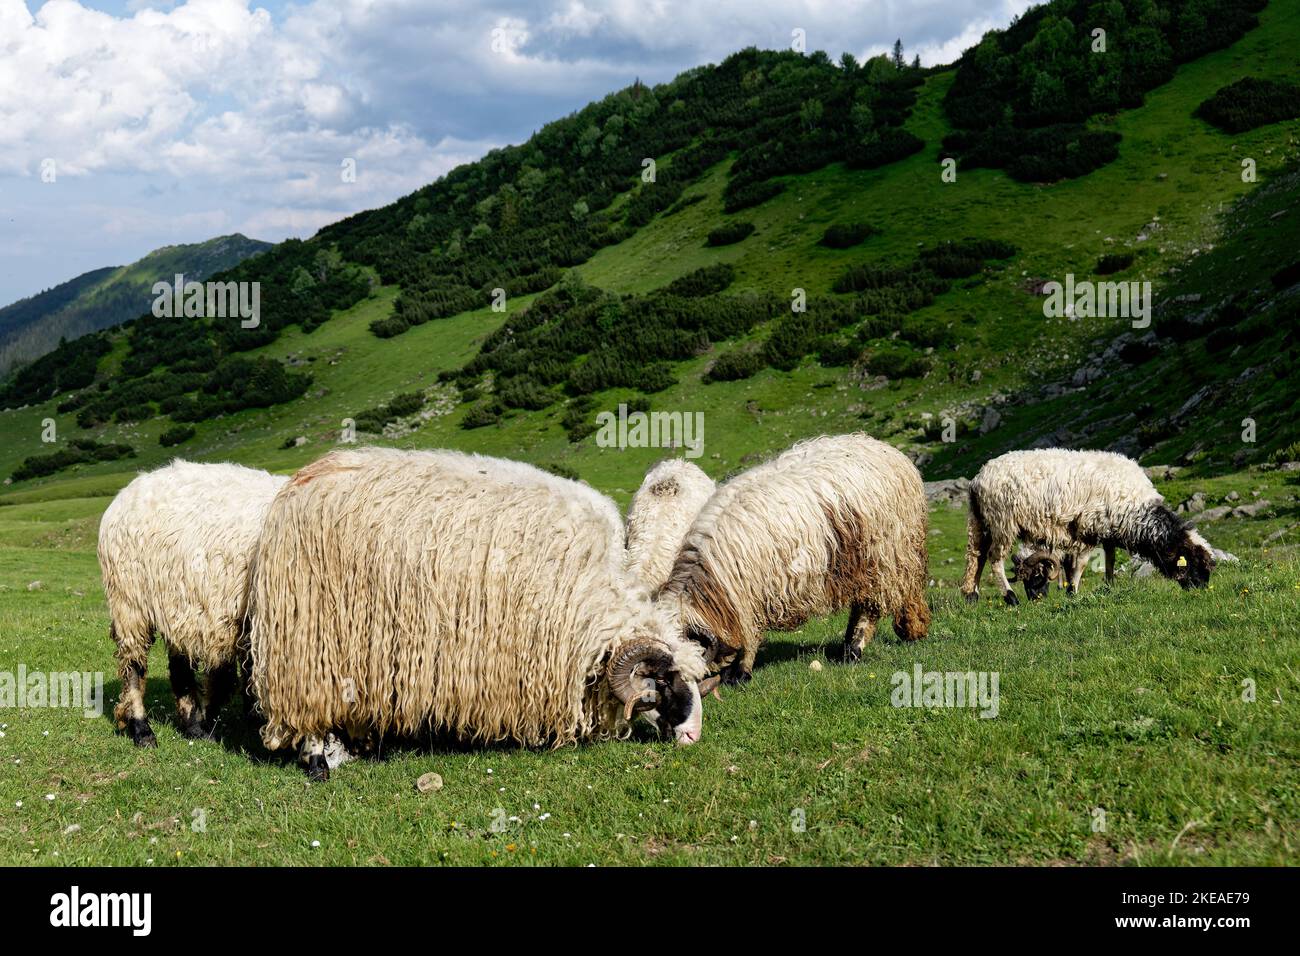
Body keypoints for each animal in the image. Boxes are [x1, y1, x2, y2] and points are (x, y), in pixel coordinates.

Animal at [98, 459, 287, 747]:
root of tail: (127, 491)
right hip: (130, 601)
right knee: (134, 666)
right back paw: (143, 730)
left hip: (179, 603)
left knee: (181, 666)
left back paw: (195, 725)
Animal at [656, 433, 931, 685]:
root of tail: (888, 449)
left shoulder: (749, 599)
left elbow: (749, 636)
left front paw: (739, 674)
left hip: (884, 555)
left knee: (870, 607)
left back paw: (854, 650)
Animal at [962, 448, 1215, 605]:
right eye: (1194, 562)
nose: (1203, 589)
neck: (1137, 511)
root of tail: (978, 479)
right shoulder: (1087, 528)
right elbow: (1082, 563)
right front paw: (1073, 592)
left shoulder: (1108, 530)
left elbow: (1109, 558)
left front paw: (1109, 585)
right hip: (1002, 521)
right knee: (994, 559)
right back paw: (1010, 597)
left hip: (981, 521)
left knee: (976, 556)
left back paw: (971, 595)